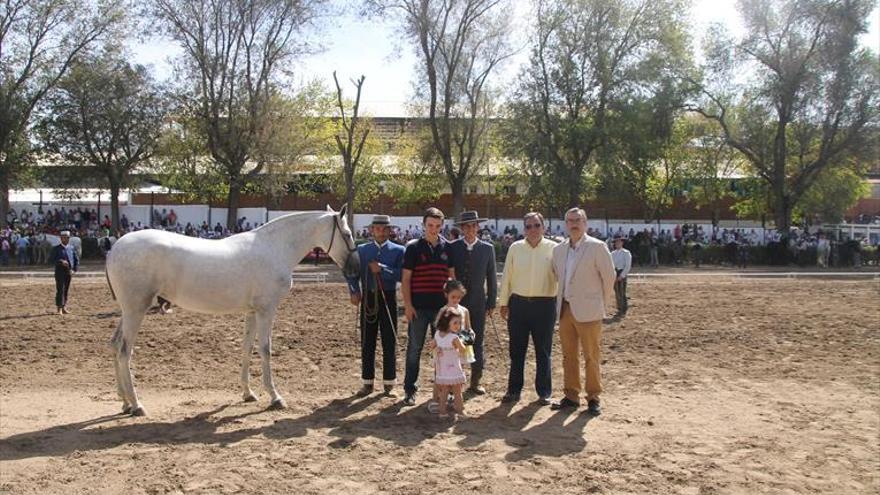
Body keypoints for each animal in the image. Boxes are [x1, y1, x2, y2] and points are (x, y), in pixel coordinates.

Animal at [105, 207, 360, 416]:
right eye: (348, 235)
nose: (355, 268)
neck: (274, 248)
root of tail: (115, 247)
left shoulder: (252, 312)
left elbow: (247, 348)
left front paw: (248, 393)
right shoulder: (267, 310)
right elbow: (265, 349)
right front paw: (275, 397)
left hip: (128, 311)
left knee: (115, 345)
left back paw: (124, 401)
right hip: (135, 311)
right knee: (125, 351)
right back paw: (136, 404)